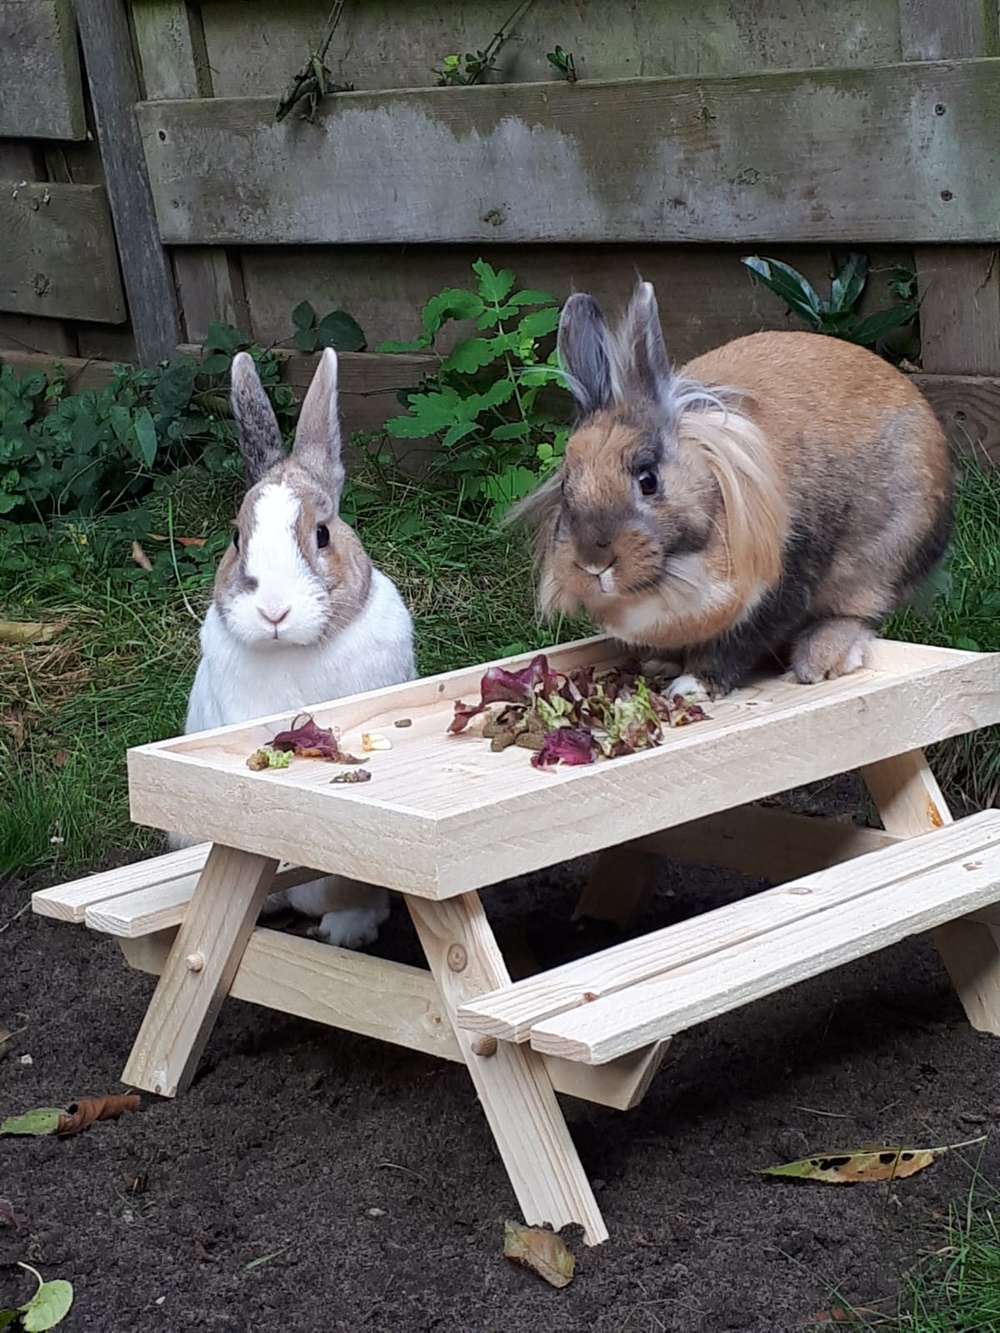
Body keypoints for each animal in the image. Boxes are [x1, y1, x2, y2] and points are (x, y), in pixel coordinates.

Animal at [517, 279, 954, 698]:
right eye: (566, 485)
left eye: (648, 480)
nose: (593, 564)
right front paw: (659, 664)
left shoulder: (779, 589)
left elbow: (737, 645)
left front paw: (692, 685)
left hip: (885, 556)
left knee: (861, 612)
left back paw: (820, 657)